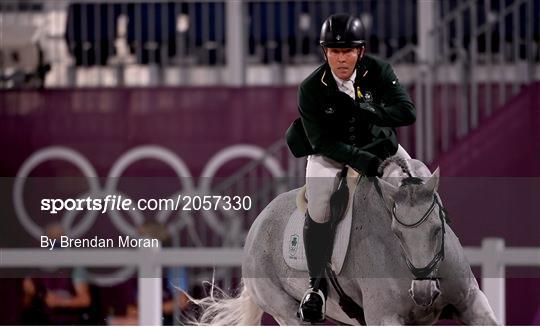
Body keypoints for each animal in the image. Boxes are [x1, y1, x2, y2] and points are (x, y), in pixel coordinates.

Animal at [190, 158, 498, 326]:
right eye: (396, 233)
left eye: (437, 228)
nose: (423, 293)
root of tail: (258, 224)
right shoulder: (385, 317)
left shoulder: (471, 302)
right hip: (286, 311)